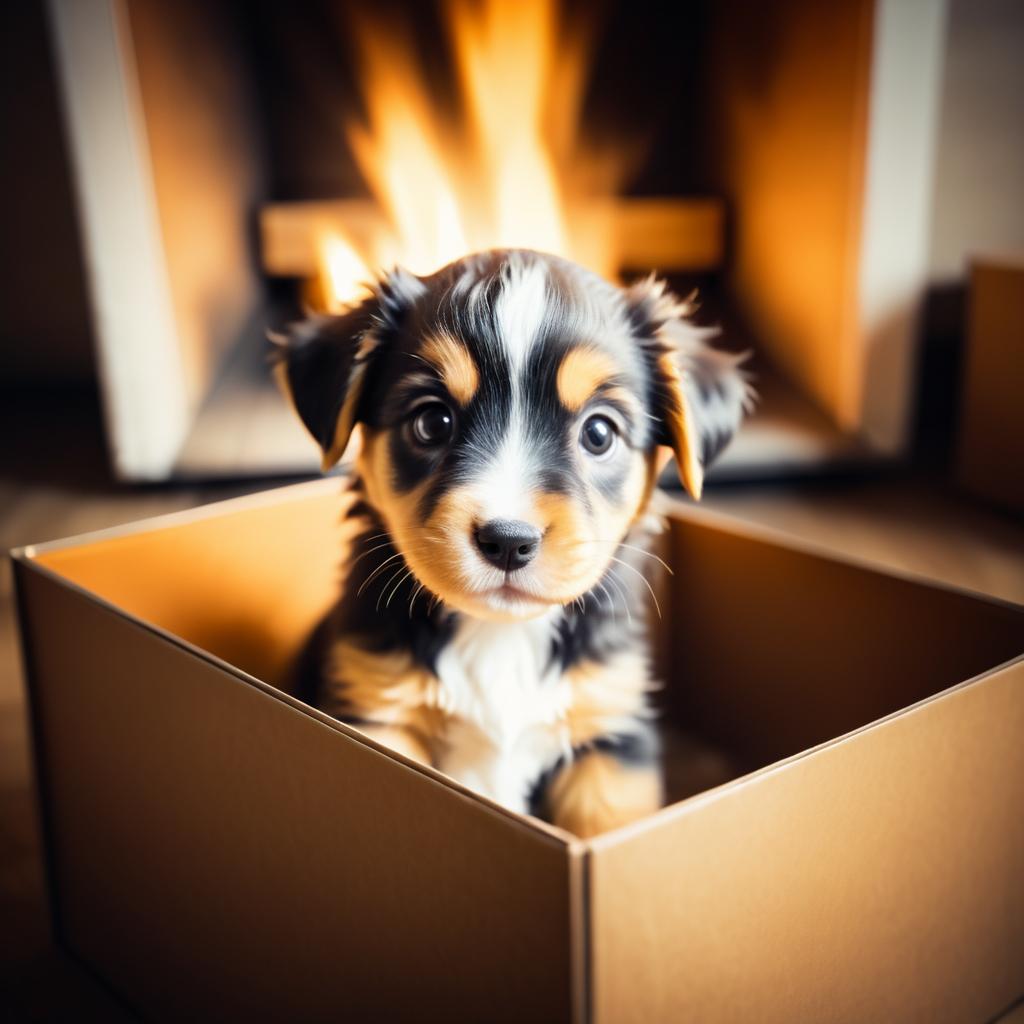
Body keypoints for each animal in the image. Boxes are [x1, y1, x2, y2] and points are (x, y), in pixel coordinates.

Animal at [276, 249, 749, 839]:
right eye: (432, 421)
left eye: (599, 433)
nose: (508, 541)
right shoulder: (378, 712)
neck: (502, 637)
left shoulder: (610, 737)